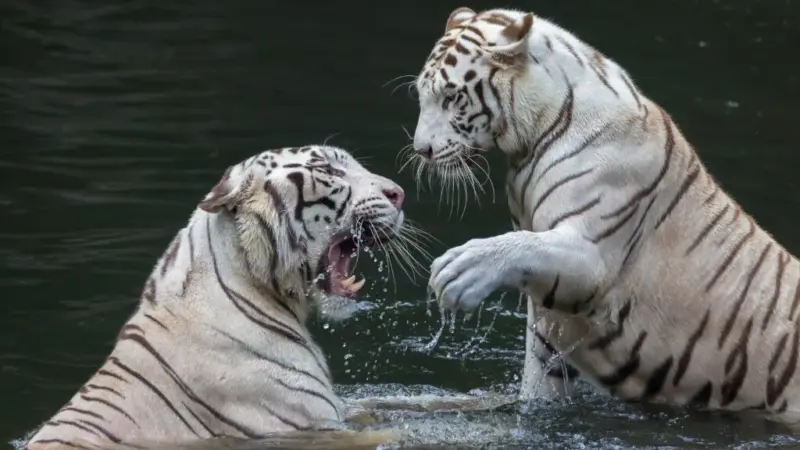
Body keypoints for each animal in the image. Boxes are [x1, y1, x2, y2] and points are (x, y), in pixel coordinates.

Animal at [407, 6, 800, 424]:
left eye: (451, 97)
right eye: (422, 95)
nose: (421, 150)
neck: (532, 138)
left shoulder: (594, 256)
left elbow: (523, 245)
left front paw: (459, 272)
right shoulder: (551, 322)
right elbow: (540, 375)